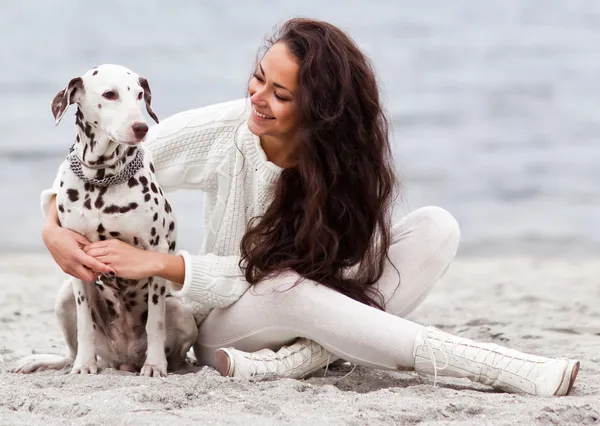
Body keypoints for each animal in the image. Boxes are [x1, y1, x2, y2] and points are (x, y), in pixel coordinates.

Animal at [14, 62, 197, 376]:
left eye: (139, 94)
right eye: (110, 94)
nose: (141, 127)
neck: (101, 181)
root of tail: (123, 358)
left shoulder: (156, 251)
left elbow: (155, 322)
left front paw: (155, 364)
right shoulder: (76, 259)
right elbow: (84, 322)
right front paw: (85, 364)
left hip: (182, 312)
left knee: (176, 350)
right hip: (64, 298)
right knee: (70, 351)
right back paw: (50, 361)